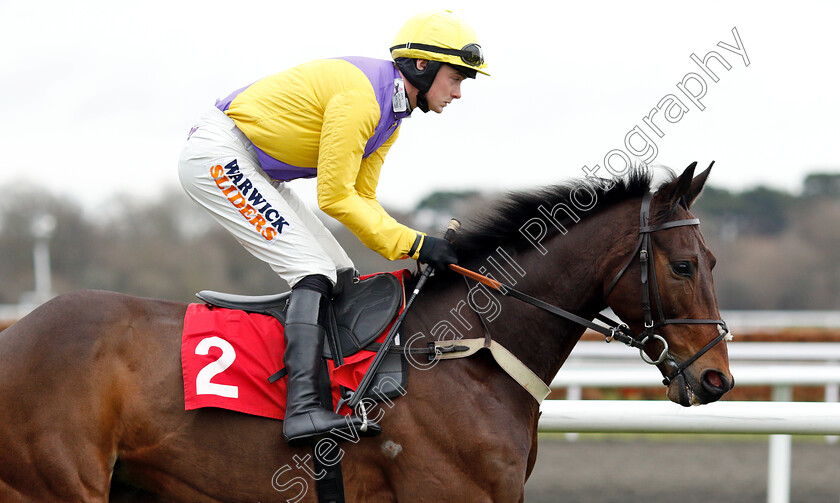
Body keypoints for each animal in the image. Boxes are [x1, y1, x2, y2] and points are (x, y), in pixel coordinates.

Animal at [0, 163, 732, 502]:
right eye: (684, 264)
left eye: (715, 261)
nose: (716, 377)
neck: (468, 352)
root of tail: (16, 334)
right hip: (56, 485)